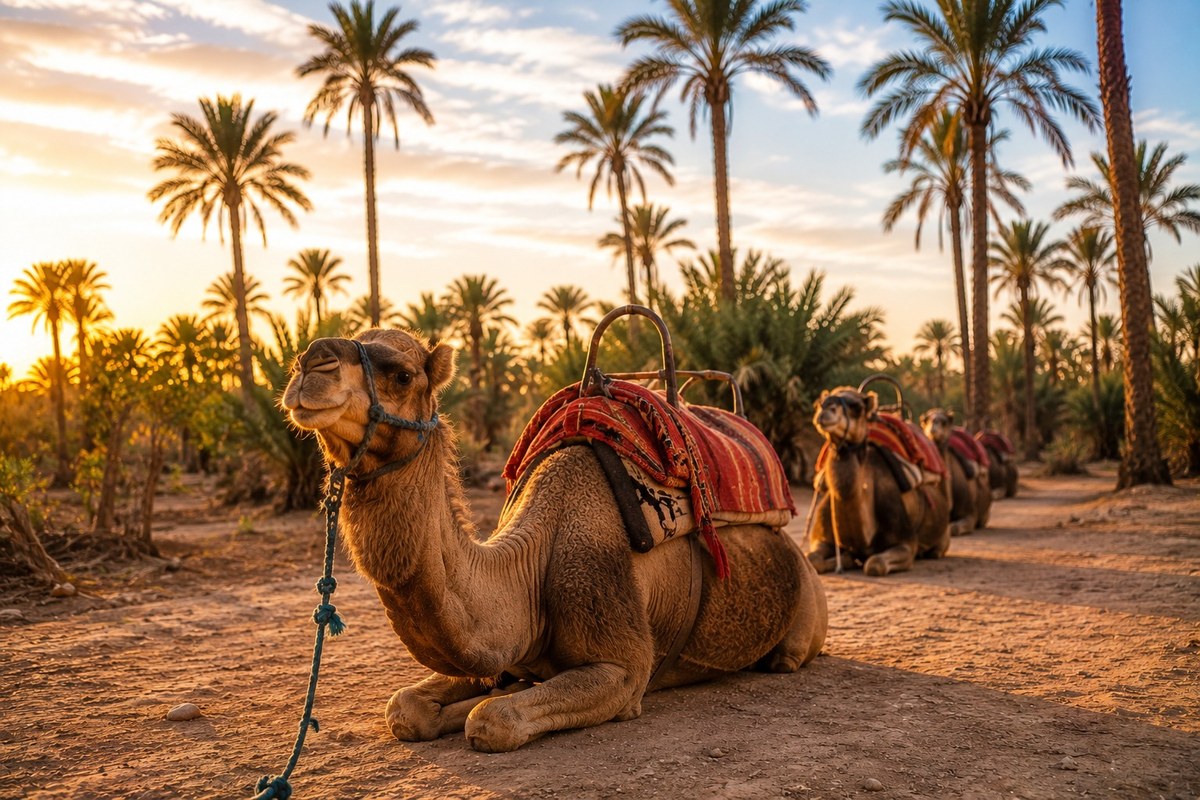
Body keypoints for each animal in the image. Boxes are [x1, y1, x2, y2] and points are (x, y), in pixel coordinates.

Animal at [281, 329, 828, 753]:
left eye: (401, 374)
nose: (311, 362)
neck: (527, 563)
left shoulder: (621, 668)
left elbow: (492, 717)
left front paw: (486, 704)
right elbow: (406, 707)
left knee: (788, 656)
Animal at [805, 387, 950, 576]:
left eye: (857, 406)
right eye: (820, 403)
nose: (825, 411)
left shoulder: (905, 543)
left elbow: (875, 564)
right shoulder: (822, 538)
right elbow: (812, 559)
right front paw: (846, 559)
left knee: (936, 549)